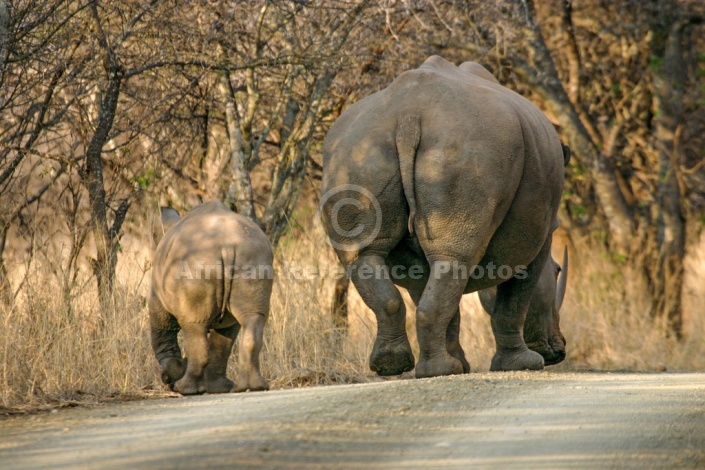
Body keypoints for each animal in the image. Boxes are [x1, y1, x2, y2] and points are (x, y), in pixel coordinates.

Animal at [148, 200, 272, 394]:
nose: (167, 382)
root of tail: (227, 245)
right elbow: (223, 340)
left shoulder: (156, 295)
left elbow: (162, 331)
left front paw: (173, 376)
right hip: (253, 256)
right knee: (252, 319)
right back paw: (249, 387)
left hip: (195, 263)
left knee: (194, 326)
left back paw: (186, 390)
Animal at [322, 55, 568, 378]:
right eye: (558, 272)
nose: (559, 352)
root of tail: (408, 117)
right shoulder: (542, 230)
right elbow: (516, 295)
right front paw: (523, 363)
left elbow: (436, 294)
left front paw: (461, 366)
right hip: (469, 150)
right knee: (453, 260)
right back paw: (439, 369)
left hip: (358, 150)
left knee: (368, 255)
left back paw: (396, 366)